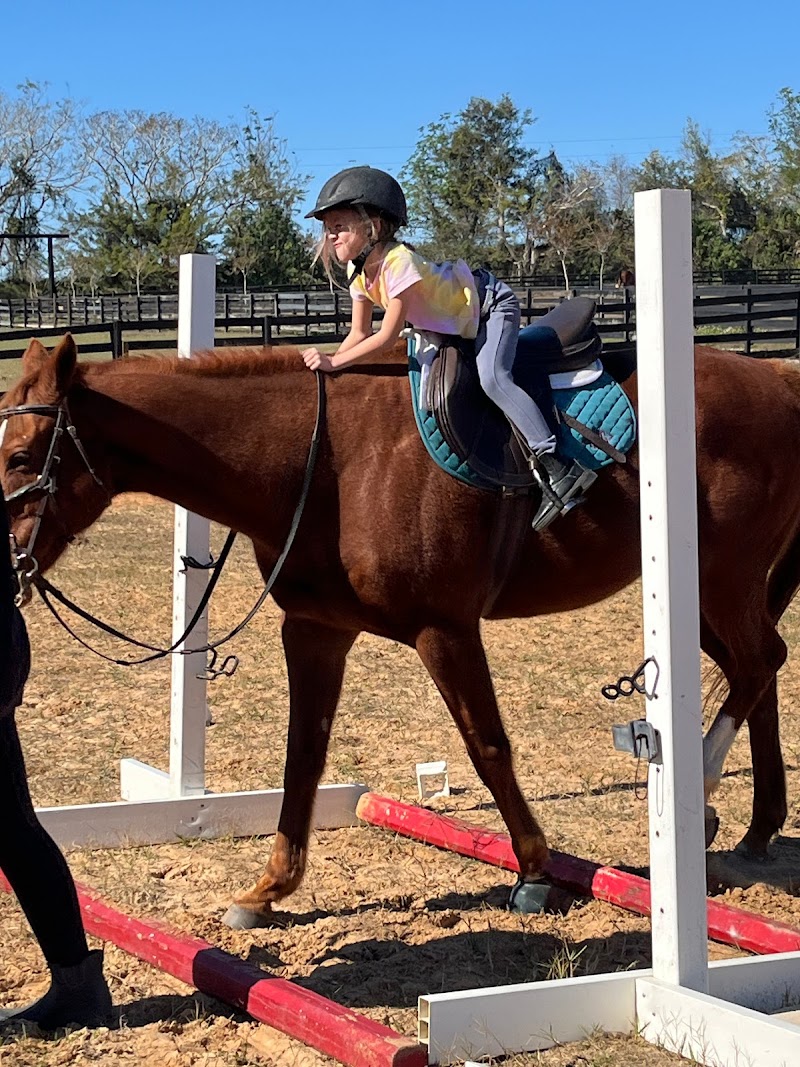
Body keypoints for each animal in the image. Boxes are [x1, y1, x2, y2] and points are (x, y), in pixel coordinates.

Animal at [3, 334, 800, 929]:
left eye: (19, 456)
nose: (5, 561)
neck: (325, 462)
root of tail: (777, 379)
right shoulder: (315, 631)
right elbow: (303, 755)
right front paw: (267, 889)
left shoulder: (443, 629)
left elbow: (488, 747)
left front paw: (536, 872)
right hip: (704, 598)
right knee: (759, 667)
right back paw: (755, 828)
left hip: (719, 579)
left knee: (758, 661)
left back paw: (702, 796)